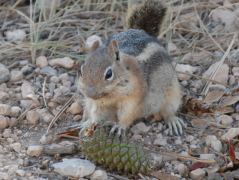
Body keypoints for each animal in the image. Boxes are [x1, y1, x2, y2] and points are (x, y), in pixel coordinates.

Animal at [78, 0, 185, 135]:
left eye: (108, 74)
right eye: (82, 71)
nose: (90, 94)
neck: (111, 95)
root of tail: (140, 31)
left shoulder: (133, 99)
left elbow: (127, 115)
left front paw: (120, 126)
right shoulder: (96, 103)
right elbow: (95, 113)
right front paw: (88, 123)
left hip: (172, 94)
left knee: (168, 111)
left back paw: (173, 121)